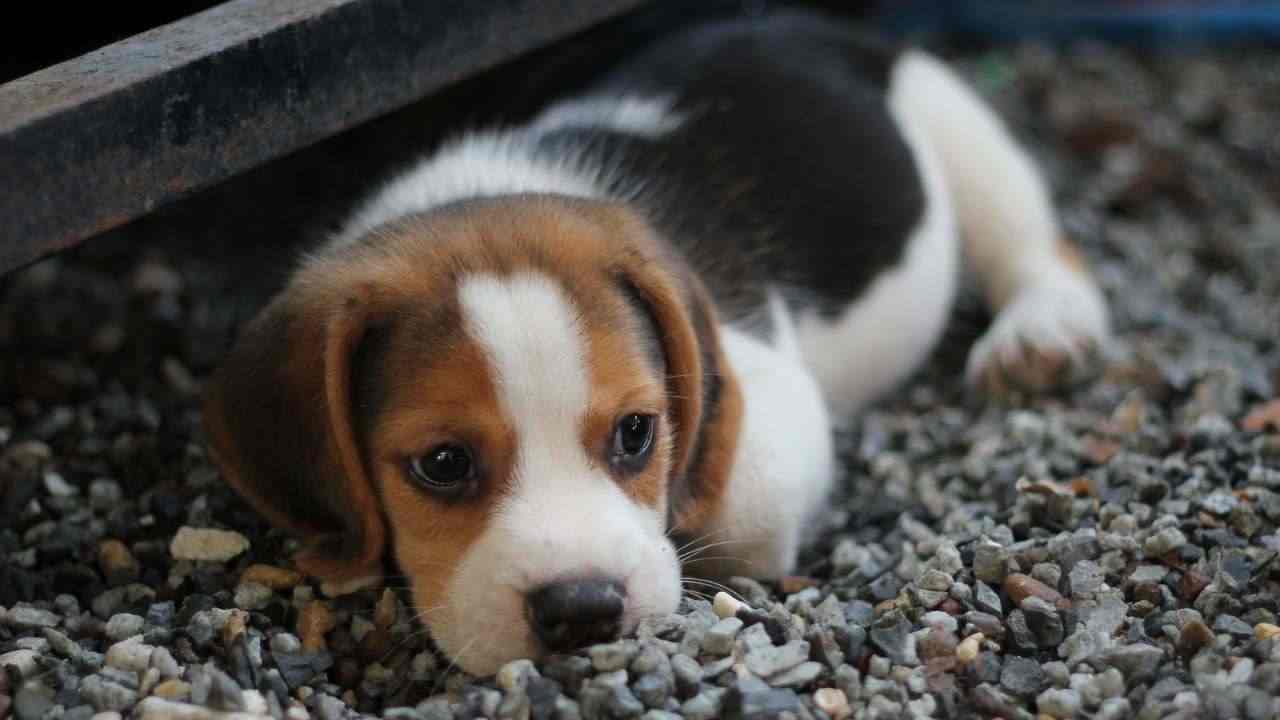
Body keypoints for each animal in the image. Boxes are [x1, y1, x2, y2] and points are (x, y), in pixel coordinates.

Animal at [202, 9, 1111, 671]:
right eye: (443, 464)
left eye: (638, 433)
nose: (582, 610)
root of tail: (801, 23)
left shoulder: (769, 402)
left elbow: (731, 504)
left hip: (952, 125)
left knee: (1036, 242)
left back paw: (1040, 333)